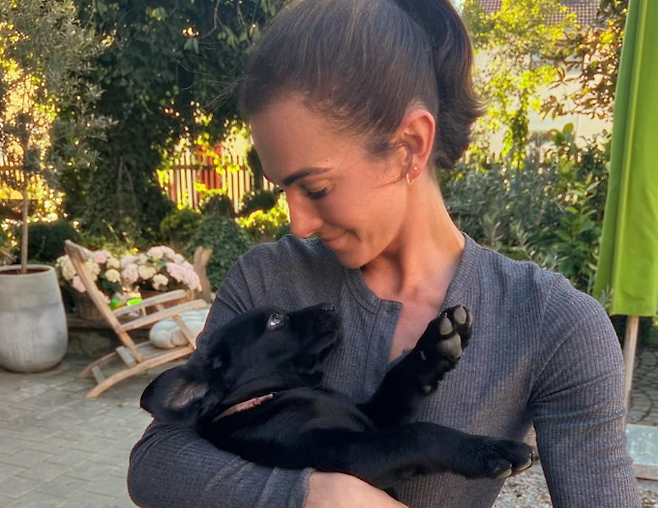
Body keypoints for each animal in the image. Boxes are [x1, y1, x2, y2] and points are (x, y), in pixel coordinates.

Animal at [140, 303, 533, 491]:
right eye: (276, 321)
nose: (329, 305)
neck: (274, 394)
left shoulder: (376, 415)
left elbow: (400, 380)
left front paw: (436, 343)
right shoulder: (349, 454)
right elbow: (419, 433)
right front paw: (489, 451)